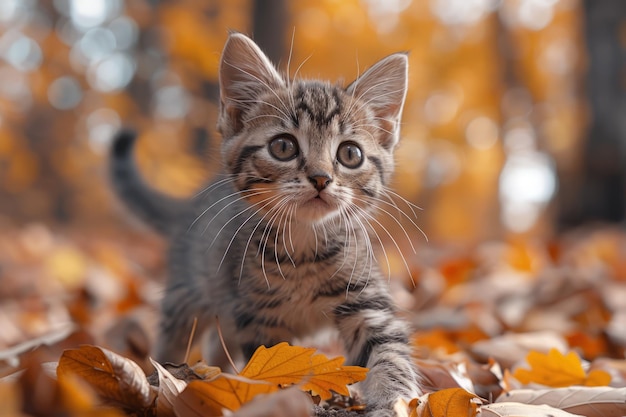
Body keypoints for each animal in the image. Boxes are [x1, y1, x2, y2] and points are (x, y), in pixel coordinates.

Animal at [113, 31, 424, 412]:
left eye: (350, 154)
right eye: (283, 147)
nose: (321, 178)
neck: (304, 249)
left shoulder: (367, 302)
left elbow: (388, 353)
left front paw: (396, 401)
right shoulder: (257, 319)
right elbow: (272, 368)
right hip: (190, 291)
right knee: (175, 337)